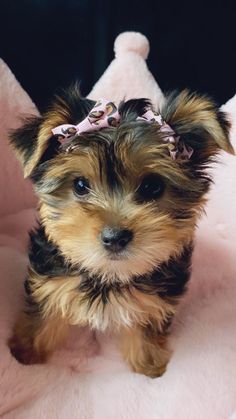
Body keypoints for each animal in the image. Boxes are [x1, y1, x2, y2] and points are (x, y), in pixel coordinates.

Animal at [7, 84, 234, 378]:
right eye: (80, 185)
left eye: (152, 187)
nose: (115, 238)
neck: (109, 275)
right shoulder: (50, 282)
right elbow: (43, 315)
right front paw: (26, 354)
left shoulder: (155, 299)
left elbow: (147, 326)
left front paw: (149, 366)